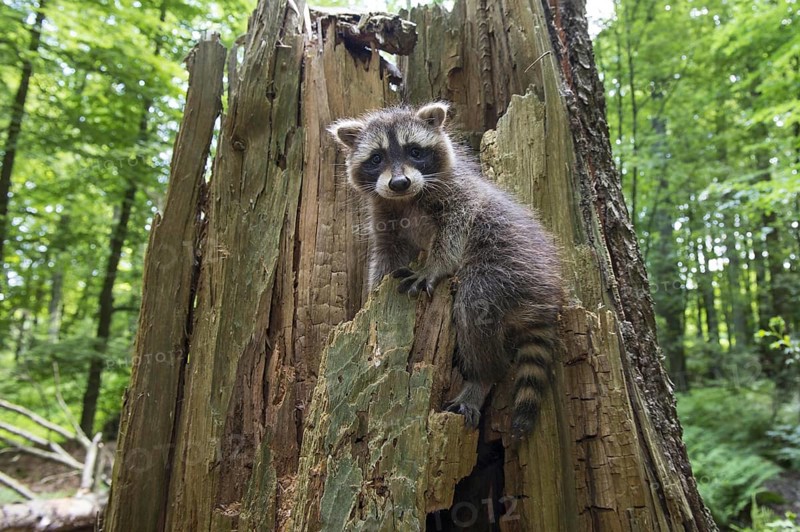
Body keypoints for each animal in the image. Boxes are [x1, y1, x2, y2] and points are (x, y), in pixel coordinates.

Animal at [328, 102, 563, 437]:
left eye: (415, 151)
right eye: (376, 158)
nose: (399, 183)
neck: (407, 199)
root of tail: (547, 291)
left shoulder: (458, 194)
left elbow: (456, 227)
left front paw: (435, 266)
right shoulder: (385, 216)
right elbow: (386, 256)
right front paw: (373, 292)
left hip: (508, 263)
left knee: (475, 304)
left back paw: (480, 378)